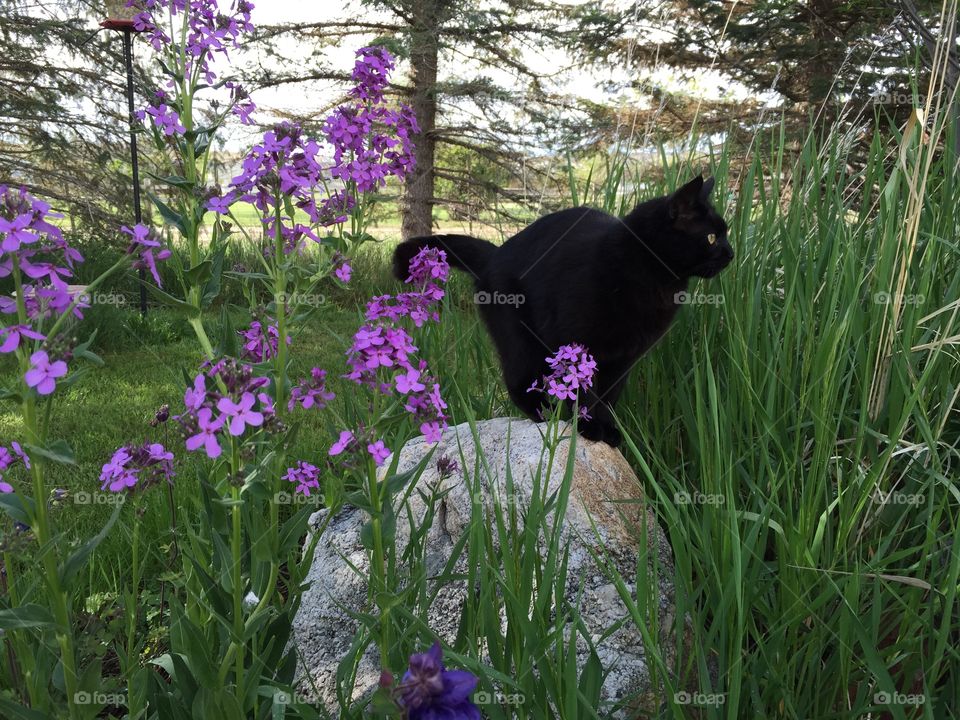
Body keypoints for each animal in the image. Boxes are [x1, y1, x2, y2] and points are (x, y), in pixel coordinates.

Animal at [394, 174, 732, 444]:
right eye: (711, 237)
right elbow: (584, 390)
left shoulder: (625, 358)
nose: (731, 253)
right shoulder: (578, 341)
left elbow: (607, 397)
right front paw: (588, 426)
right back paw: (542, 414)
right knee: (517, 382)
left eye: (725, 233)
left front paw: (605, 427)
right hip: (521, 341)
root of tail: (495, 254)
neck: (650, 274)